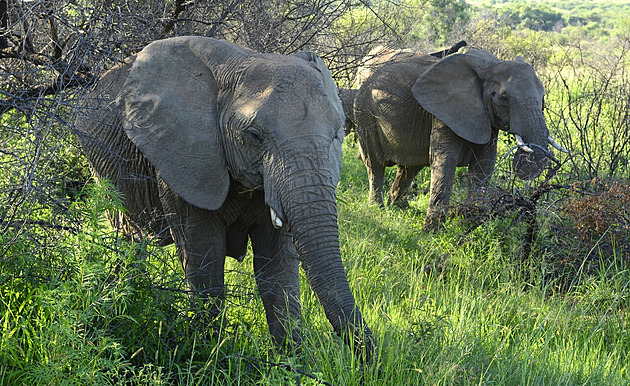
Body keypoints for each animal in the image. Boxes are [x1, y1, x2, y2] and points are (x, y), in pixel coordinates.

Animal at [77, 37, 376, 356]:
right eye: (254, 136)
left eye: (336, 135)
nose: (370, 358)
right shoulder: (186, 158)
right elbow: (205, 262)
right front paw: (208, 350)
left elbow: (278, 269)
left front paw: (291, 361)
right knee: (129, 238)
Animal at [354, 48, 572, 229]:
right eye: (504, 98)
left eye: (543, 97)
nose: (521, 161)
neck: (491, 65)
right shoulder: (443, 112)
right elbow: (444, 162)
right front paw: (431, 233)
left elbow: (483, 166)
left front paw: (471, 225)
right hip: (364, 112)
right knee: (375, 164)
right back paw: (377, 208)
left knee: (410, 167)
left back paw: (399, 207)